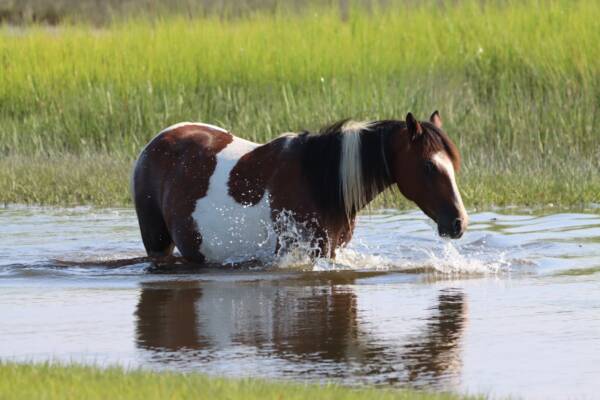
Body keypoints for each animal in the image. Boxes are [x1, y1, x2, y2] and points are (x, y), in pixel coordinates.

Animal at [132, 111, 468, 264]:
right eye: (428, 166)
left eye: (454, 163)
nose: (459, 223)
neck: (319, 182)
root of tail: (155, 143)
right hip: (157, 243)